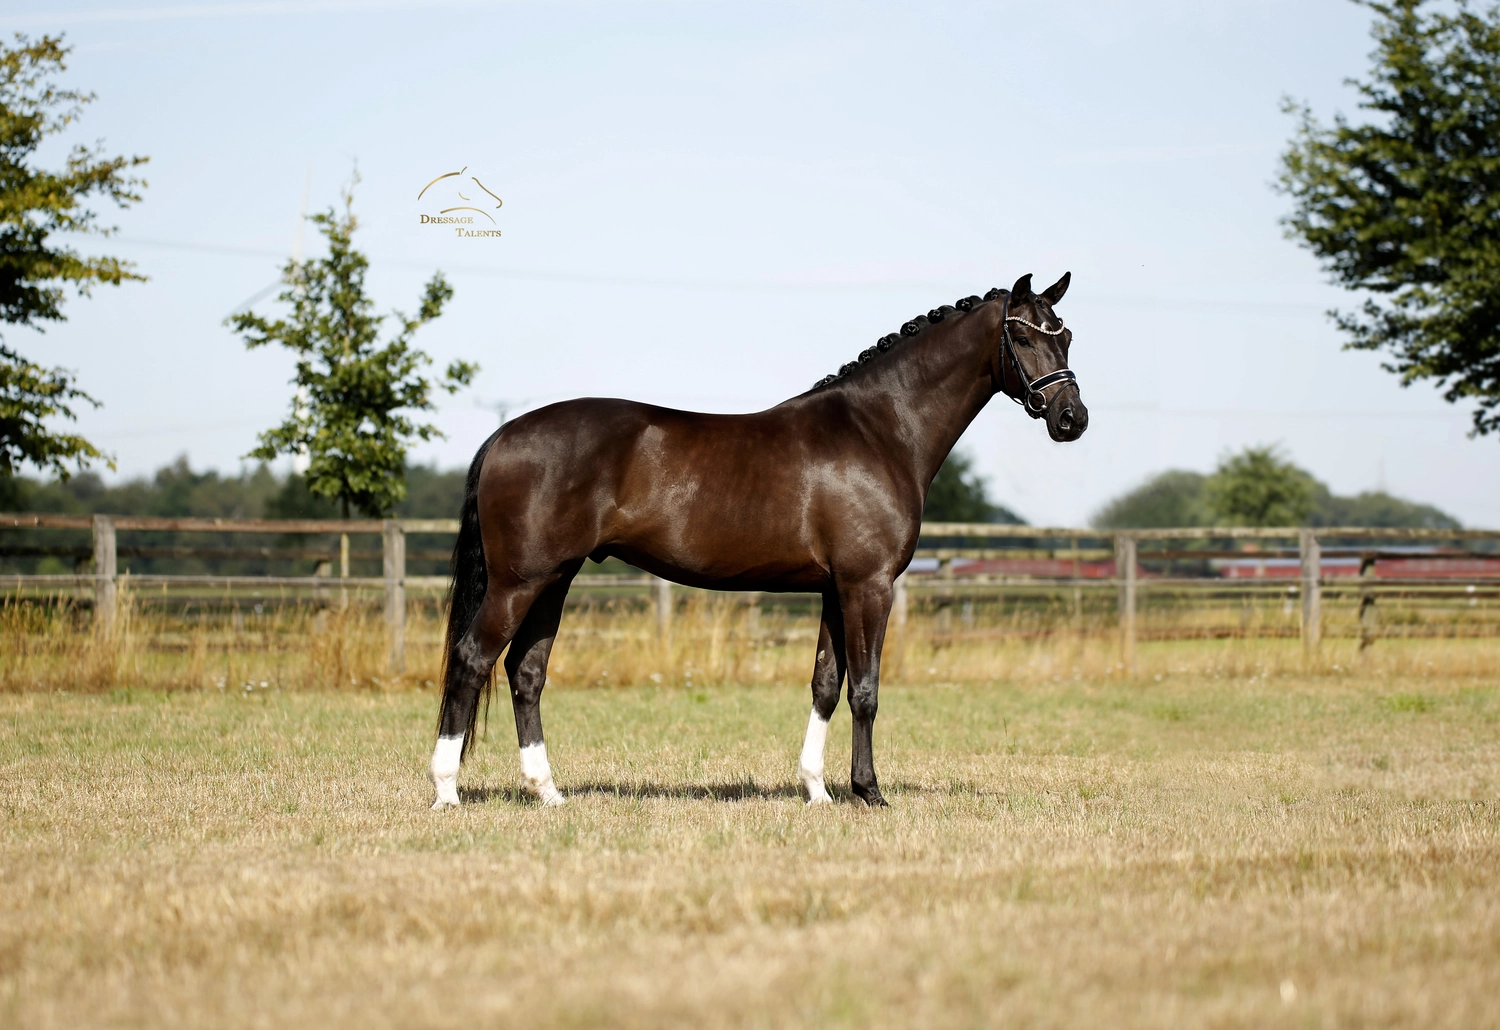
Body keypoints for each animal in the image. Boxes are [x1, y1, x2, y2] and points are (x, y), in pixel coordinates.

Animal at [429, 271, 1088, 809]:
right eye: (1022, 335)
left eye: (1067, 336)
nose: (1071, 419)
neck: (879, 429)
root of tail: (505, 434)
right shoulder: (868, 586)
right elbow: (865, 689)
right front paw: (869, 792)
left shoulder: (834, 590)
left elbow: (826, 683)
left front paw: (817, 790)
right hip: (519, 582)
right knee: (471, 660)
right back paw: (447, 792)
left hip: (553, 581)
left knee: (525, 673)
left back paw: (547, 791)